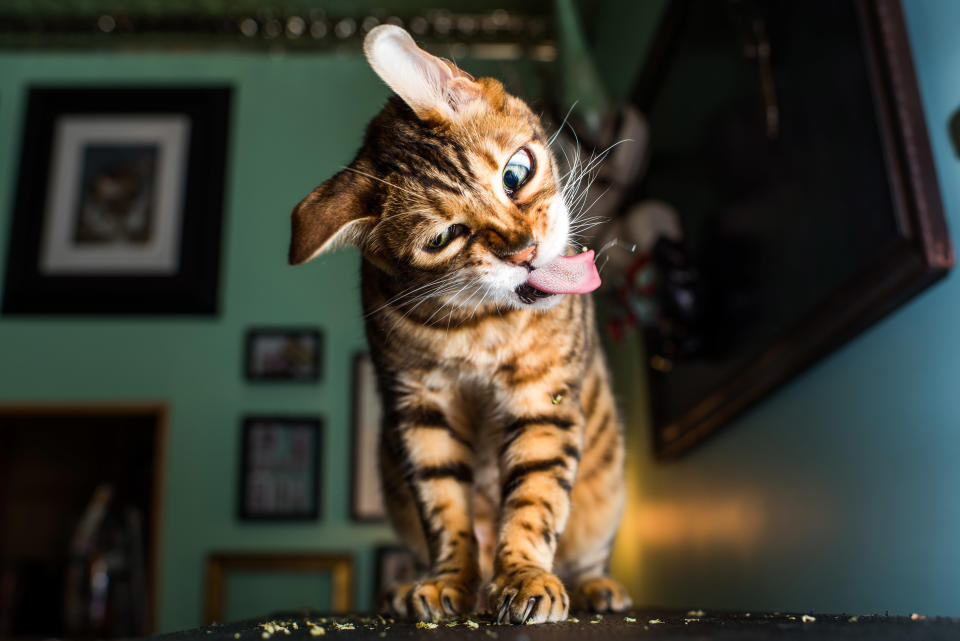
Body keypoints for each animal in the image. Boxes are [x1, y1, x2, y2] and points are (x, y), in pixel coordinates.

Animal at [288, 26, 632, 624]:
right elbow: (444, 509)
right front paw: (448, 579)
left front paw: (524, 575)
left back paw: (594, 587)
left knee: (583, 554)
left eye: (516, 174)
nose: (524, 252)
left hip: (605, 492)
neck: (480, 327)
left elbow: (535, 499)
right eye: (443, 238)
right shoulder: (421, 411)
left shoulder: (543, 398)